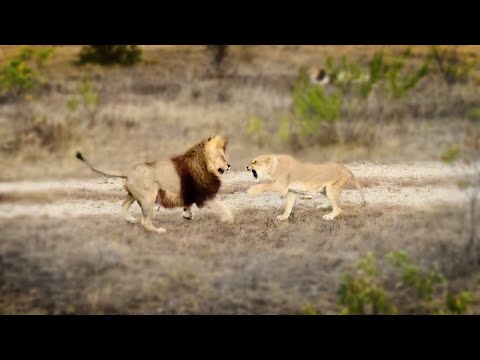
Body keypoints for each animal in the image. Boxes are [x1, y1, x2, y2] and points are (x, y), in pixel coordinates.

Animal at [77, 135, 234, 233]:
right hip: (148, 197)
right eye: (221, 156)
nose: (229, 165)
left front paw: (187, 215)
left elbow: (188, 204)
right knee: (145, 222)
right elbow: (221, 206)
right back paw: (158, 231)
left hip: (134, 194)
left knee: (124, 205)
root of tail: (128, 171)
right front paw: (229, 219)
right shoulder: (204, 192)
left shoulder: (189, 190)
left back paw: (130, 220)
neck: (203, 163)